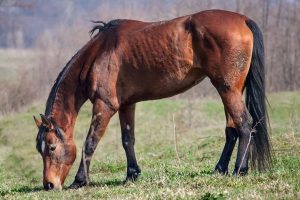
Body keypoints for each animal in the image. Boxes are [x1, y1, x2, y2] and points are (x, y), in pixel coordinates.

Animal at [32, 9, 272, 191]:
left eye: (51, 147)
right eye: (39, 149)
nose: (49, 185)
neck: (98, 55)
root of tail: (243, 20)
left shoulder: (104, 106)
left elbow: (90, 143)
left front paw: (79, 181)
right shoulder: (126, 105)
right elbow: (127, 140)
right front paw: (131, 174)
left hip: (228, 89)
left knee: (244, 124)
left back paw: (239, 170)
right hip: (230, 90)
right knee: (232, 129)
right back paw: (220, 169)